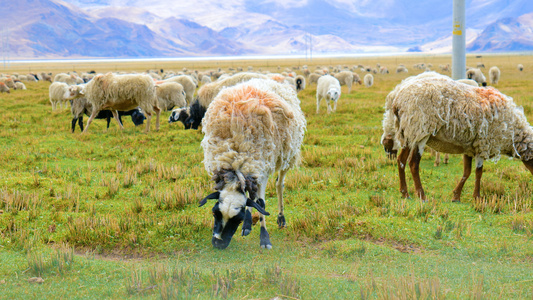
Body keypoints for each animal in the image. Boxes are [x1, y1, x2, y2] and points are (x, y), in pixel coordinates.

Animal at [197, 78, 306, 250]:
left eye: (238, 219)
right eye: (215, 213)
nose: (218, 243)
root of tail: (263, 79)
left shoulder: (262, 168)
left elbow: (261, 203)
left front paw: (264, 239)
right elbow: (252, 199)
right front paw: (248, 224)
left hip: (286, 155)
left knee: (279, 184)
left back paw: (281, 218)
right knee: (251, 195)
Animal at [380, 72, 532, 202]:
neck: (512, 132)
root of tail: (398, 101)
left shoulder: (471, 146)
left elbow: (467, 172)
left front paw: (456, 196)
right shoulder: (483, 144)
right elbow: (478, 172)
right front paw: (477, 197)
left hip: (408, 132)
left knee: (401, 160)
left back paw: (404, 193)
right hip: (420, 130)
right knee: (413, 163)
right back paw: (421, 195)